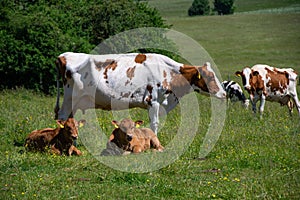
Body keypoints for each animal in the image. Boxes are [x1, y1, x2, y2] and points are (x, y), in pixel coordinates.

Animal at [54, 52, 225, 134]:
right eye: (210, 77)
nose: (224, 93)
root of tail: (63, 55)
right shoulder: (153, 101)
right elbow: (155, 123)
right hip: (69, 98)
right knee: (62, 117)